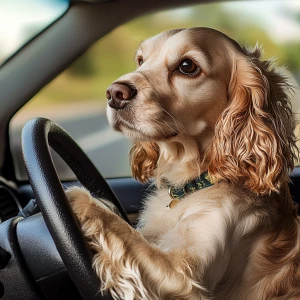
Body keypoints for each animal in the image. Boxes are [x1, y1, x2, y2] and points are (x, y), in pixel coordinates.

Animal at [66, 27, 300, 298]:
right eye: (141, 60)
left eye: (187, 66)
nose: (114, 93)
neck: (192, 184)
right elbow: (126, 228)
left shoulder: (183, 275)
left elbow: (115, 224)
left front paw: (70, 198)